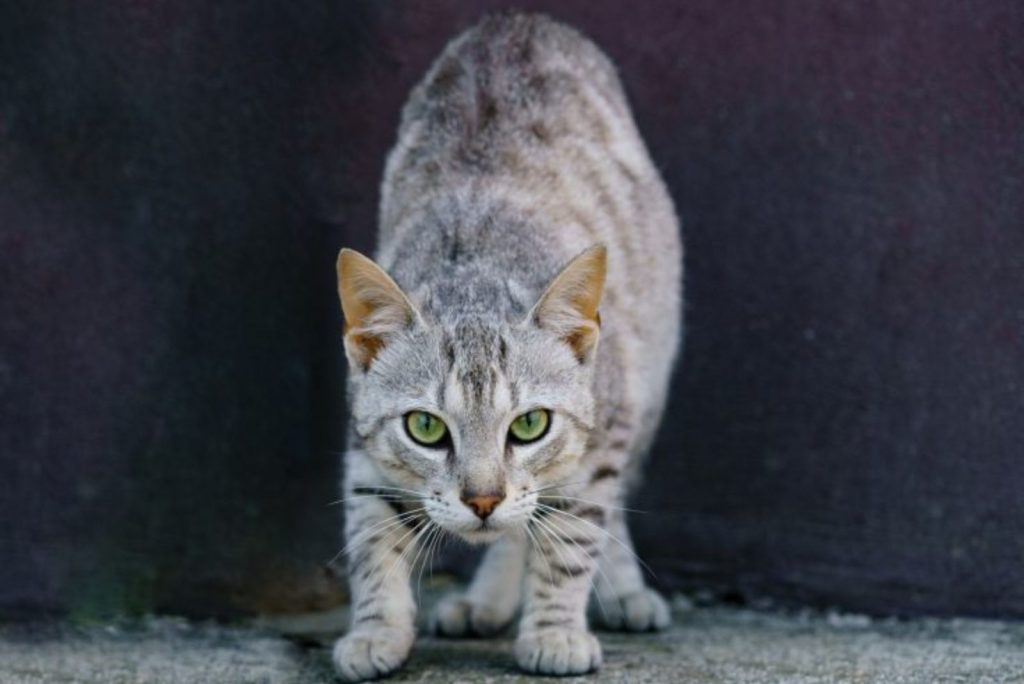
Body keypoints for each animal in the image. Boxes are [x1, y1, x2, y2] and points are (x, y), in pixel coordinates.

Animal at [331, 13, 679, 679]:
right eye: (425, 427)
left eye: (529, 425)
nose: (483, 500)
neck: (477, 268)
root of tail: (519, 20)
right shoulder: (363, 436)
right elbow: (371, 537)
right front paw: (375, 630)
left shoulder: (603, 430)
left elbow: (573, 537)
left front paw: (555, 631)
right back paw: (487, 599)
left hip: (649, 373)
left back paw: (621, 591)